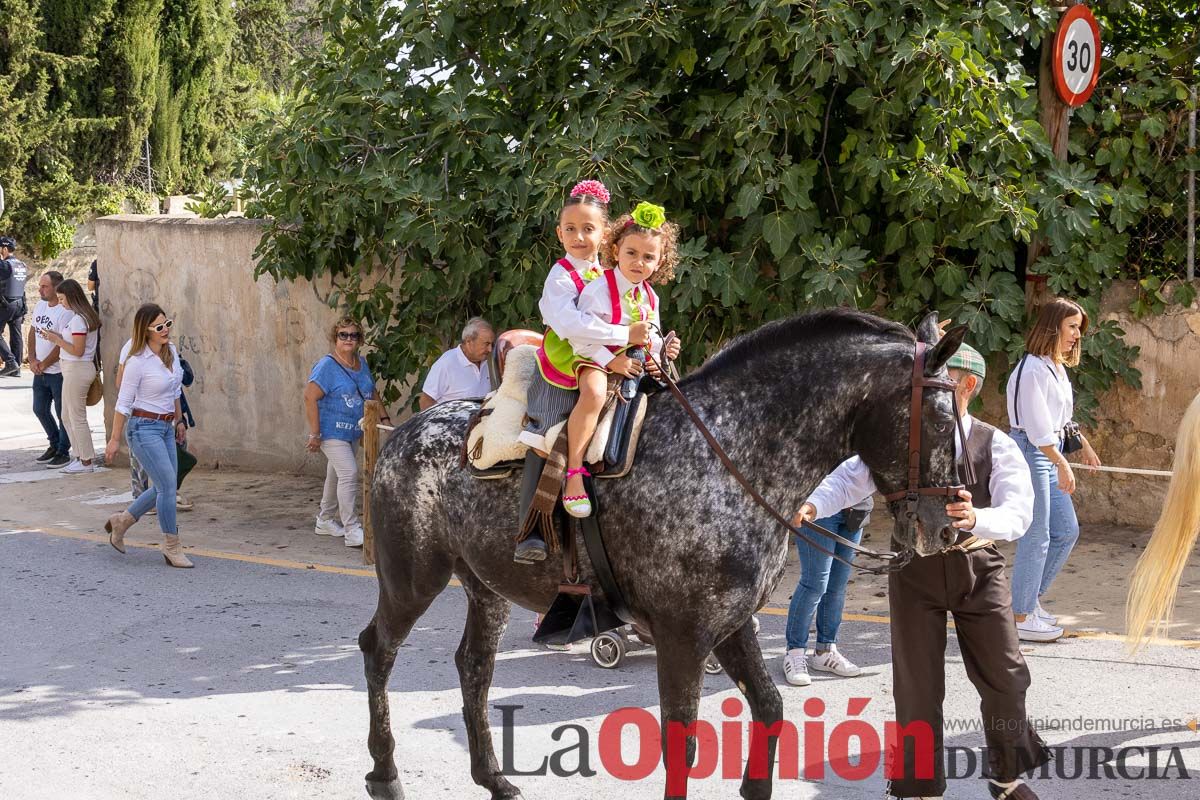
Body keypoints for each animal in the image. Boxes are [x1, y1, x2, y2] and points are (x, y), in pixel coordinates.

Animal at [357, 309, 964, 796]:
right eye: (940, 418)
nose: (947, 527)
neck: (733, 454)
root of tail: (405, 431)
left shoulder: (731, 624)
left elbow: (769, 708)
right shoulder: (683, 635)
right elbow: (682, 745)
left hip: (487, 588)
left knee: (474, 666)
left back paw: (494, 778)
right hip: (413, 579)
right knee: (378, 650)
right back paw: (385, 773)